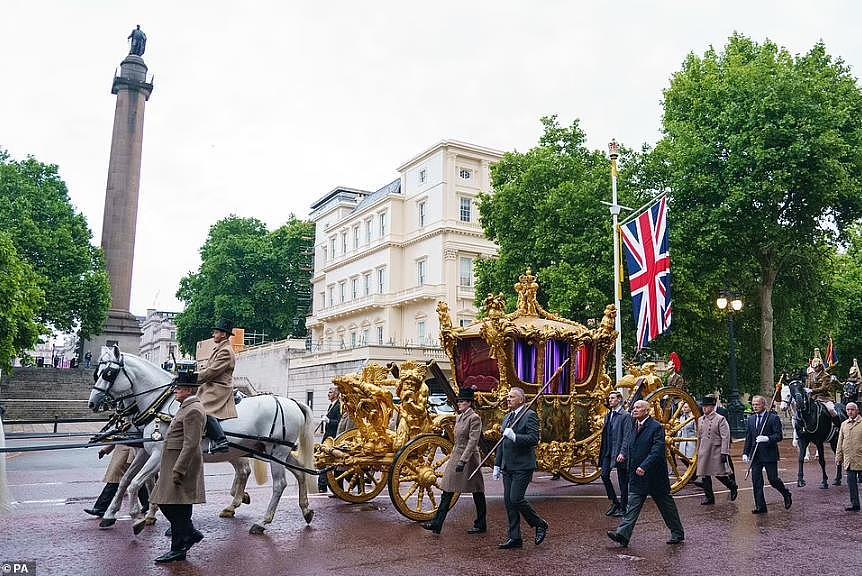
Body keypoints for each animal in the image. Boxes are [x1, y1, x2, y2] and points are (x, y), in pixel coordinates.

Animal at [88, 344, 318, 532]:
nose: (93, 403)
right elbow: (126, 480)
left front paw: (138, 516)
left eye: (108, 373)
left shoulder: (159, 454)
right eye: (98, 373)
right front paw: (111, 514)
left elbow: (136, 483)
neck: (161, 406)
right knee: (298, 472)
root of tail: (291, 401)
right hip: (274, 451)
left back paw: (262, 522)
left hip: (275, 451)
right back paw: (305, 509)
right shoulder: (144, 452)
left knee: (279, 484)